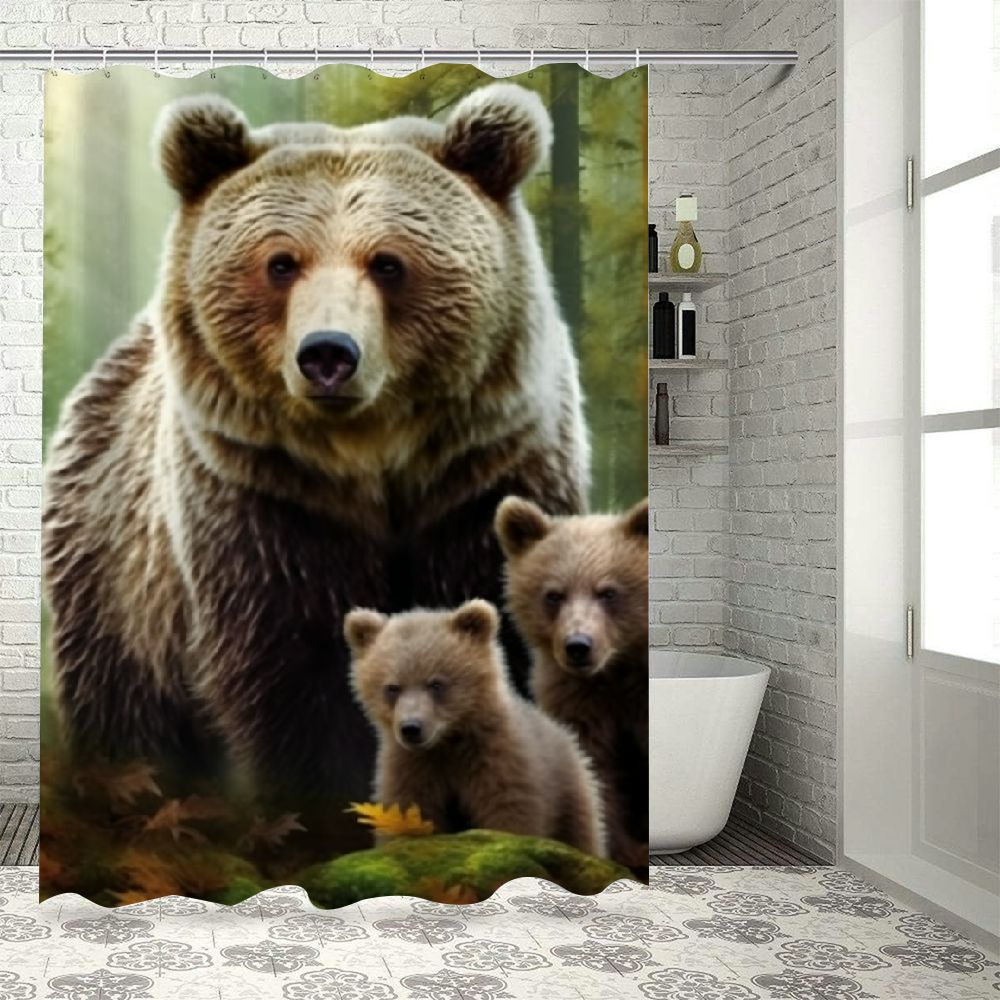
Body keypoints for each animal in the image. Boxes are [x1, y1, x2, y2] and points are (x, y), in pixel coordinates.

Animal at [41, 84, 589, 837]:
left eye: (388, 262)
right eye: (281, 262)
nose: (328, 353)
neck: (373, 458)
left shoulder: (484, 479)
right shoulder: (269, 505)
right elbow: (292, 674)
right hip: (116, 578)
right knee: (123, 706)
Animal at [344, 599, 606, 857]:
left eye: (436, 683)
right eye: (392, 687)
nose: (411, 728)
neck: (447, 741)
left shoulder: (496, 758)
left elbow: (509, 811)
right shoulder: (412, 767)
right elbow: (407, 812)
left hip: (570, 791)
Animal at [494, 496, 649, 869]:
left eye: (608, 592)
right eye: (554, 594)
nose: (578, 645)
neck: (617, 668)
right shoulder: (577, 700)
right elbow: (594, 768)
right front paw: (622, 850)